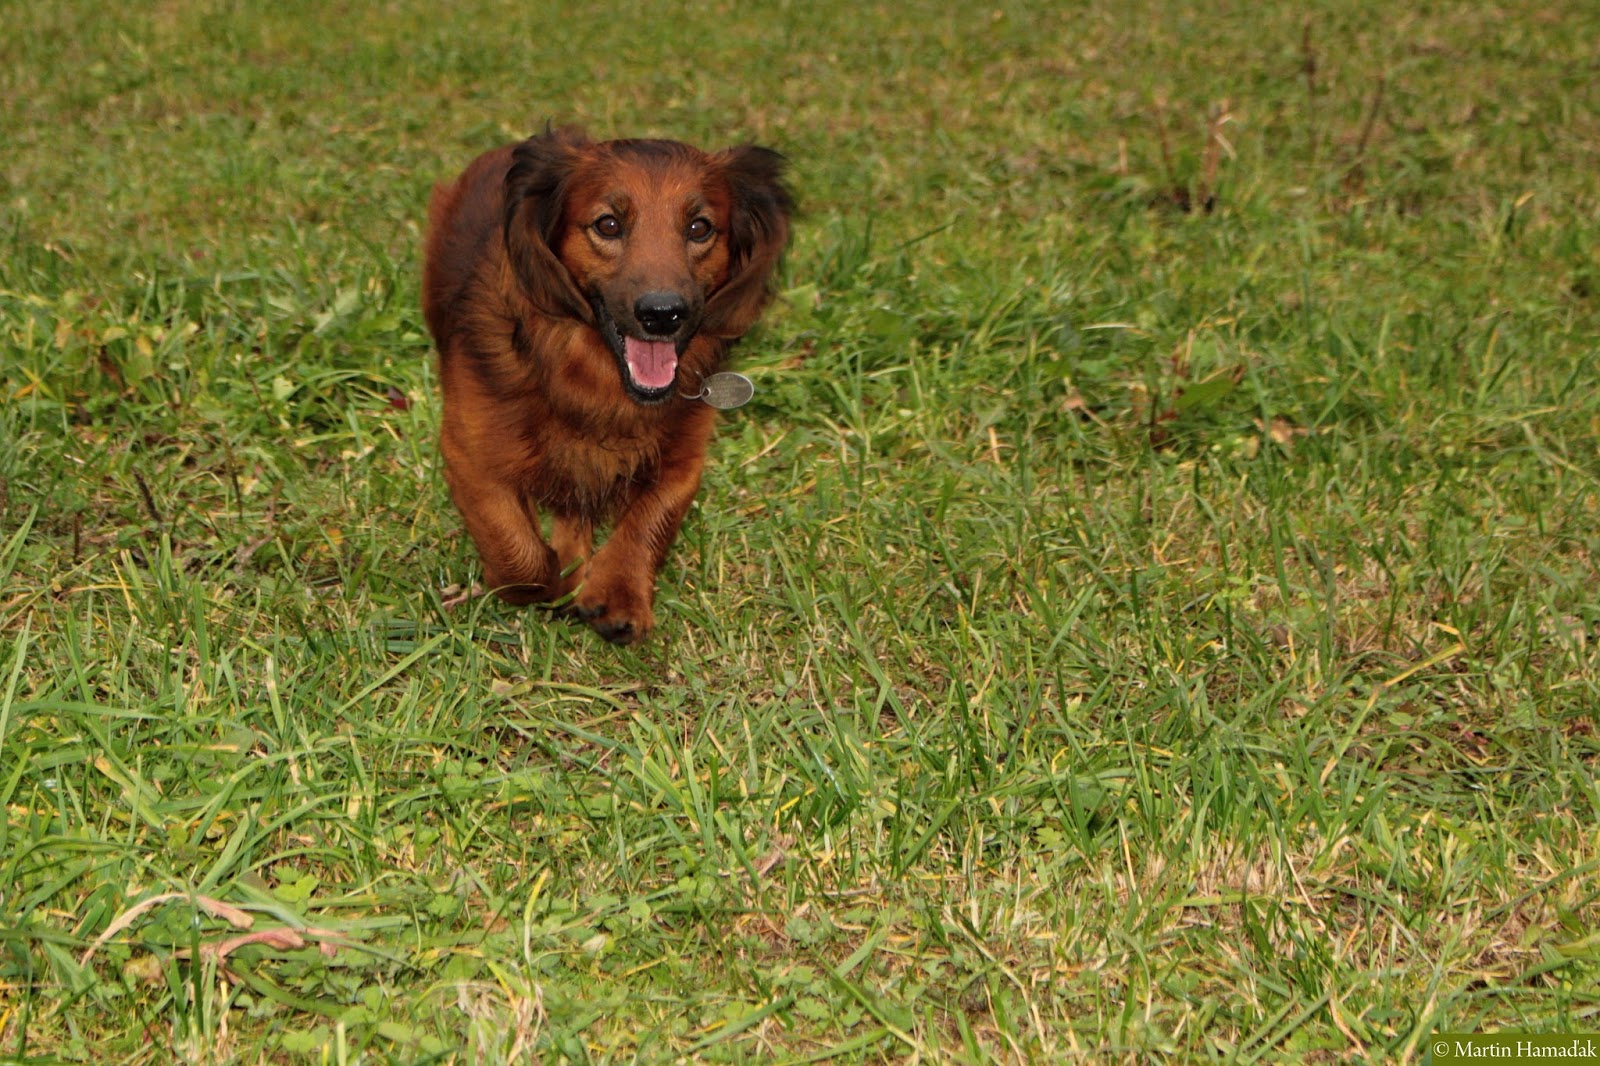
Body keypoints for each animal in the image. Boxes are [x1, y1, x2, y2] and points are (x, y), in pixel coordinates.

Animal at [422, 127, 792, 643]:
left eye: (699, 228)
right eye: (609, 225)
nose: (663, 314)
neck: (600, 383)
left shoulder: (685, 458)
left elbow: (652, 516)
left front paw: (618, 592)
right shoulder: (470, 457)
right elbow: (519, 555)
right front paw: (548, 580)